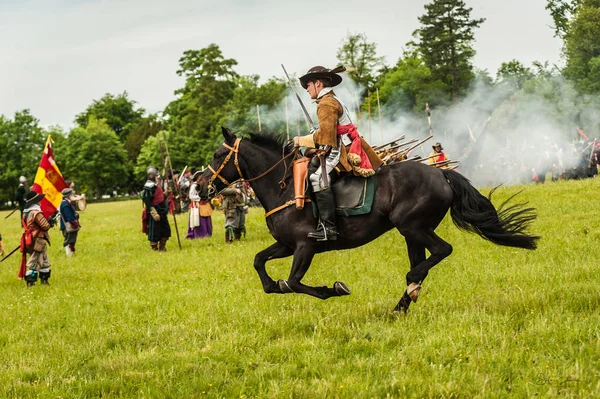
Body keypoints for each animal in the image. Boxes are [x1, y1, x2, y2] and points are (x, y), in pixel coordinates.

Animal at [200, 130, 540, 314]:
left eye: (217, 154)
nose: (200, 187)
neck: (284, 185)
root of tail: (441, 174)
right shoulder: (285, 245)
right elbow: (261, 264)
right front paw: (272, 285)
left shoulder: (304, 246)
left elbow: (293, 282)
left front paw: (334, 289)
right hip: (412, 232)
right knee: (424, 262)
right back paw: (402, 303)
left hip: (412, 226)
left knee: (440, 252)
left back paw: (410, 285)